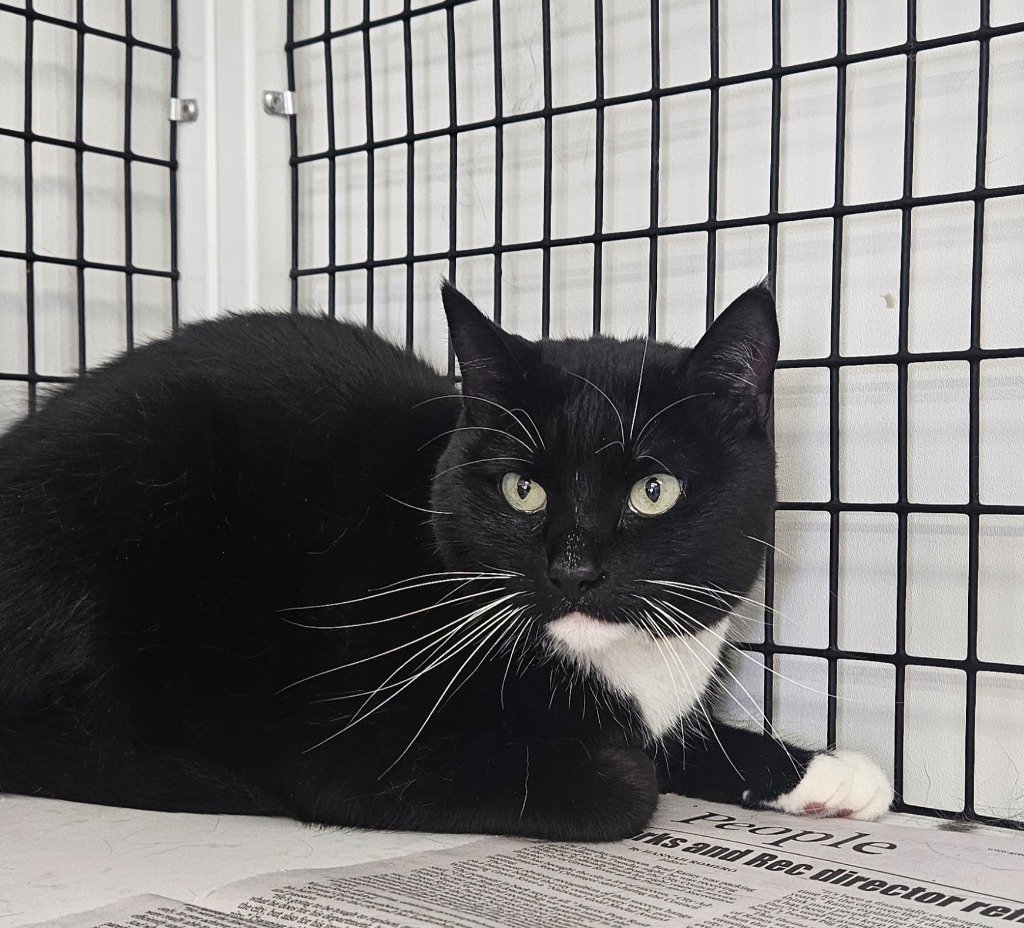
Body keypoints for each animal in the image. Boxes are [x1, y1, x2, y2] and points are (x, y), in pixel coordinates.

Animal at [0, 282, 888, 839]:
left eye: (654, 491)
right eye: (523, 489)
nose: (574, 570)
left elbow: (674, 735)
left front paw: (829, 774)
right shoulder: (337, 740)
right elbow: (627, 782)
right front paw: (629, 764)